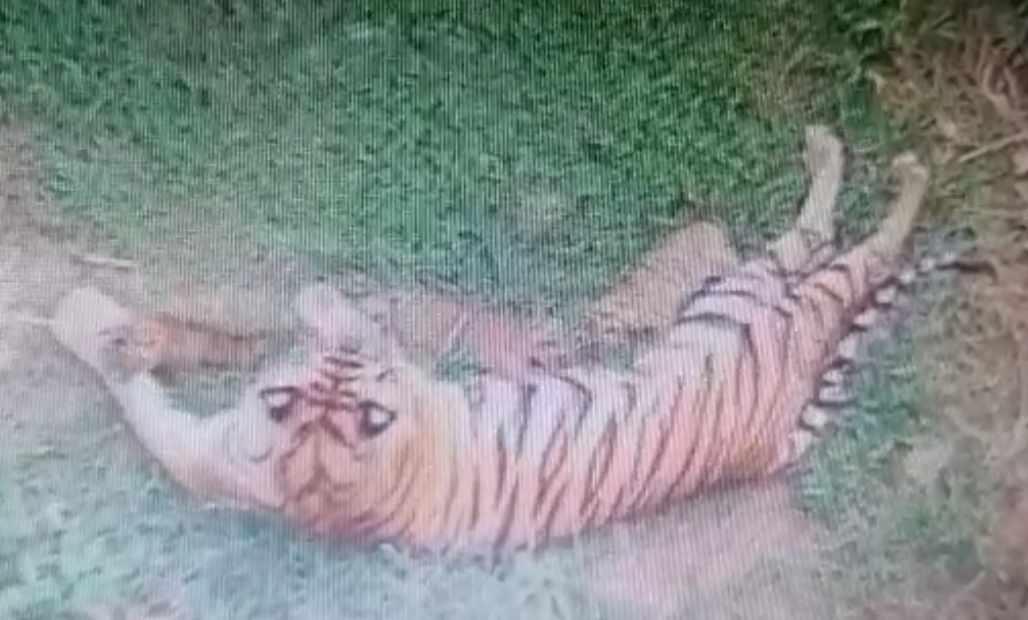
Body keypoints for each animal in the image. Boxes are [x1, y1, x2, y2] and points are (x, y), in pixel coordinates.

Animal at [50, 126, 974, 558]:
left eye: (352, 382)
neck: (319, 487)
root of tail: (777, 436)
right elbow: (184, 365)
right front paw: (114, 332)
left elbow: (296, 322)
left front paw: (116, 328)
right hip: (746, 297)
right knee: (833, 243)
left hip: (750, 298)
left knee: (851, 242)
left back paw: (883, 166)